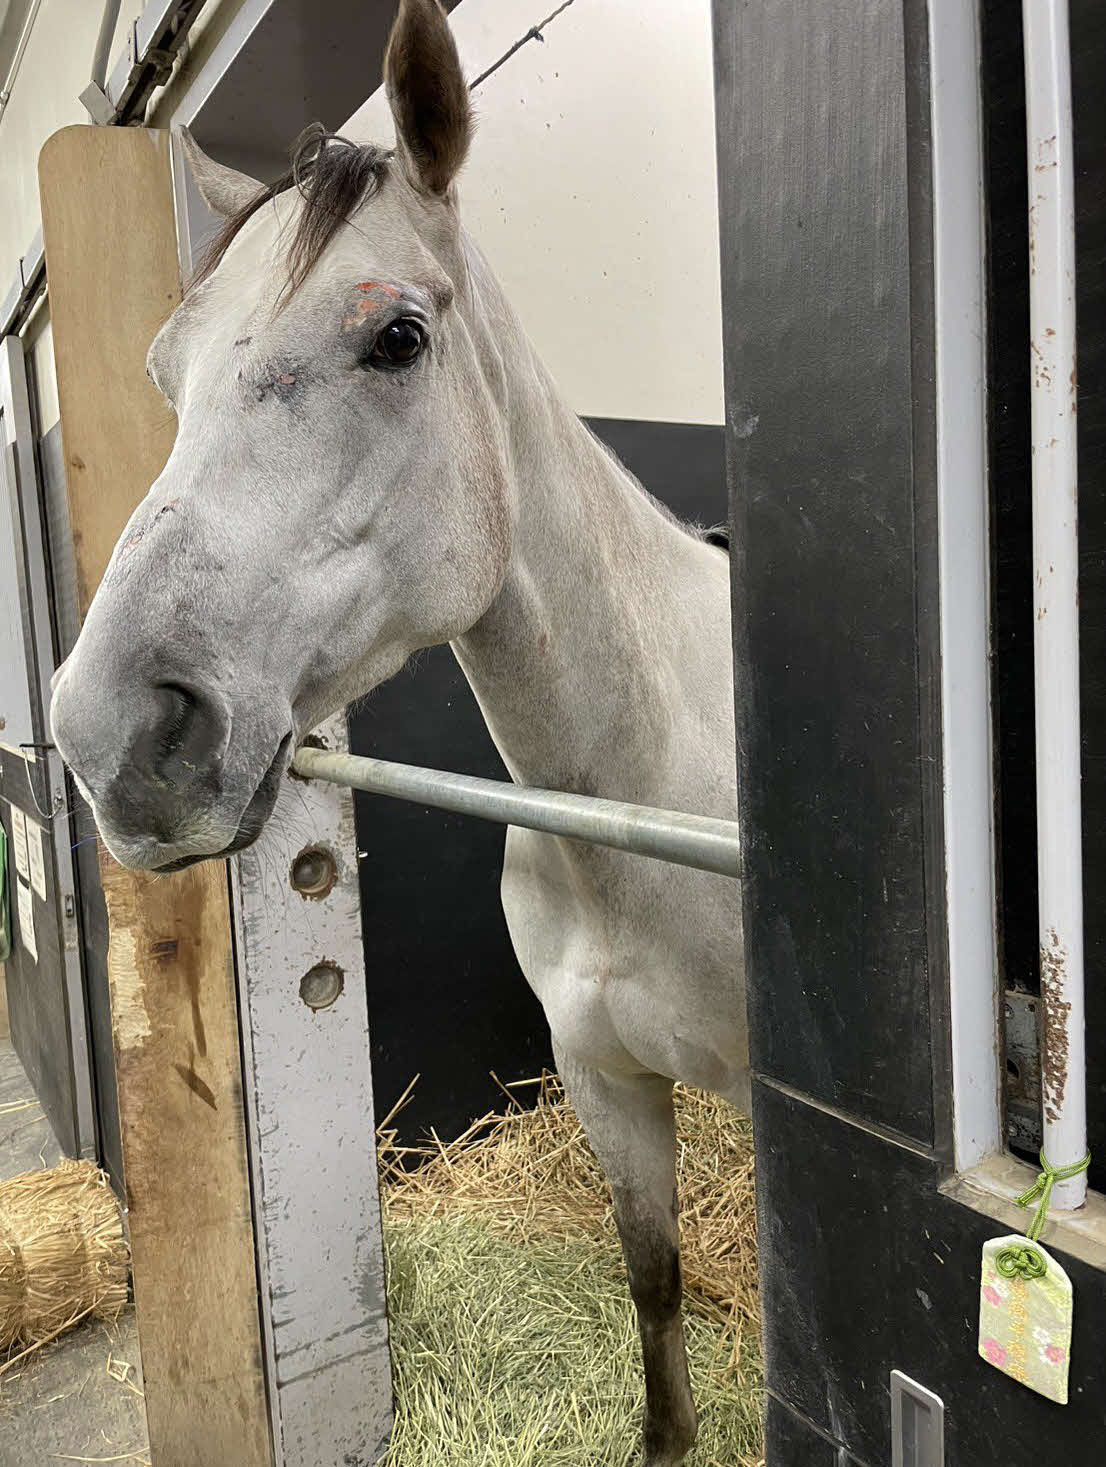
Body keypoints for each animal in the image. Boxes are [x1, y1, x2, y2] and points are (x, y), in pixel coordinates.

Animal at [50, 3, 745, 1461]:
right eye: (164, 373)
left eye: (398, 341)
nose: (110, 734)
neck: (641, 793)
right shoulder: (605, 1081)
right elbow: (651, 1285)